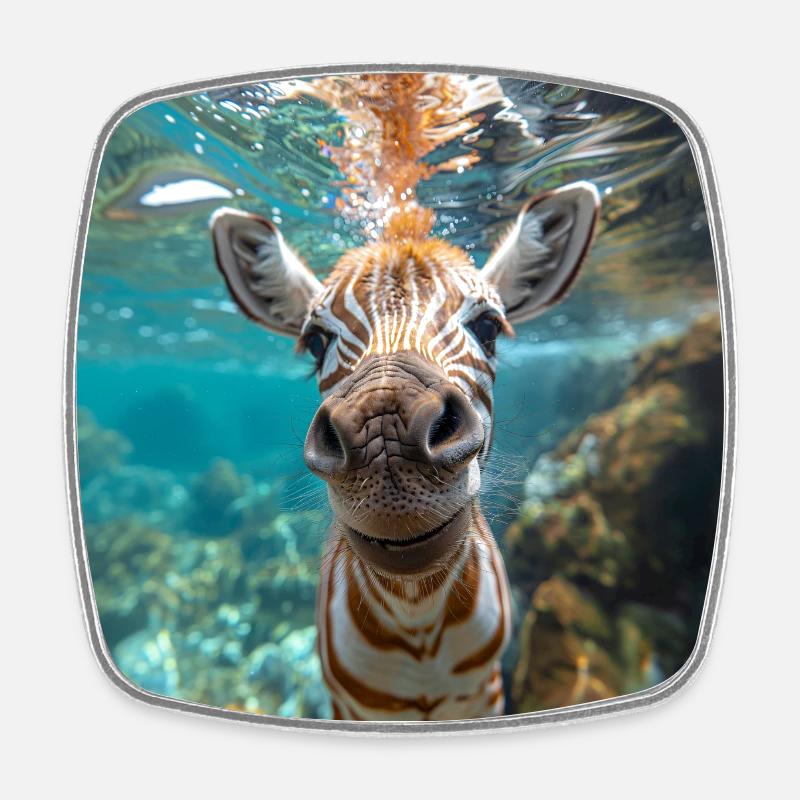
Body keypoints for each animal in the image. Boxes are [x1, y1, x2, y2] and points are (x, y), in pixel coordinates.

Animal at [211, 182, 600, 721]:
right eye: (316, 342)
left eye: (489, 327)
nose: (384, 435)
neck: (419, 618)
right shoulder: (350, 707)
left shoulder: (486, 691)